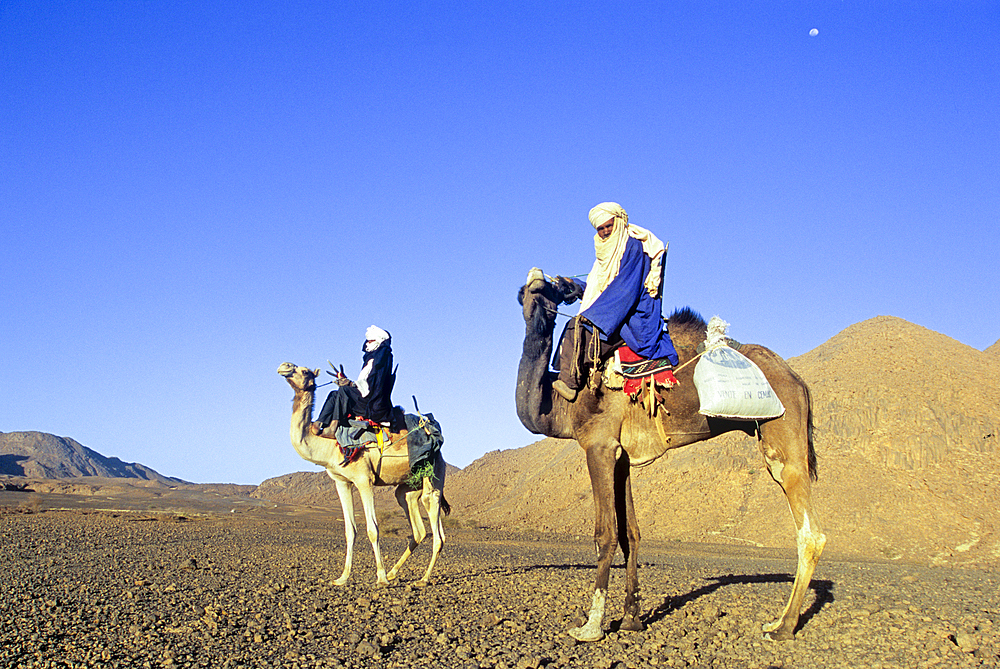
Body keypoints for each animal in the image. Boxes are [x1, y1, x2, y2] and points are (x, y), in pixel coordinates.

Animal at [272, 360, 448, 584]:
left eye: (303, 371)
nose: (284, 366)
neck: (327, 445)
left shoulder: (364, 479)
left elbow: (373, 529)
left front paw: (380, 578)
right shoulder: (341, 481)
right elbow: (350, 530)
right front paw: (342, 578)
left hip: (433, 473)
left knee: (435, 521)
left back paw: (422, 579)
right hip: (408, 486)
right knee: (416, 524)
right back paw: (394, 572)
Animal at [516, 268, 828, 640]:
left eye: (548, 290)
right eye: (524, 293)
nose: (537, 283)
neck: (566, 403)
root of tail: (798, 381)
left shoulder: (599, 445)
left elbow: (605, 534)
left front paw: (591, 625)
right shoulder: (622, 456)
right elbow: (630, 534)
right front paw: (632, 619)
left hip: (782, 435)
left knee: (810, 534)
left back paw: (784, 627)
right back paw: (779, 622)